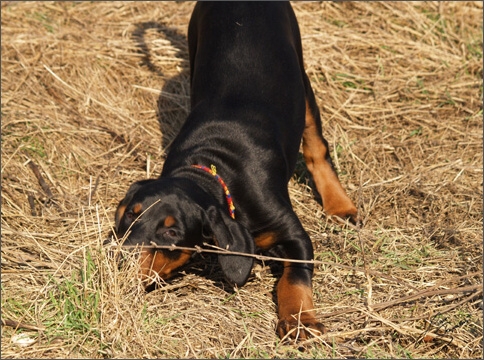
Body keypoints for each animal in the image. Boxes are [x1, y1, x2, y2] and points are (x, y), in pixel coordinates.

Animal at [112, 2, 356, 340]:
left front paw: (299, 322)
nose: (122, 262)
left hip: (302, 79)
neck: (214, 171)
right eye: (130, 215)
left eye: (172, 232)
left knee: (316, 146)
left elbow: (294, 277)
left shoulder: (294, 233)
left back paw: (340, 205)